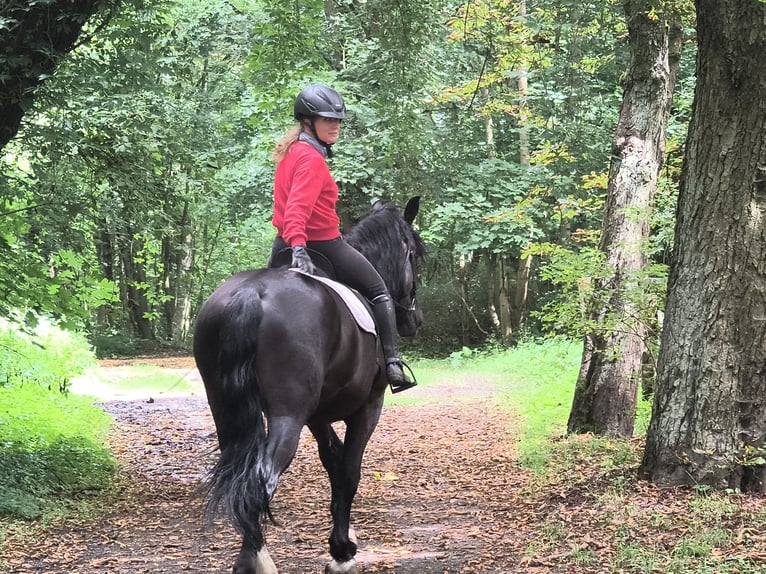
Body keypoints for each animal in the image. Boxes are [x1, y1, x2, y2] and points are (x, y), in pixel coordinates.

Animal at [193, 197, 425, 574]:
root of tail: (251, 293)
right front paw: (341, 551)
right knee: (260, 480)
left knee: (240, 478)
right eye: (415, 254)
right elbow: (349, 470)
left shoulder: (317, 416)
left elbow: (333, 462)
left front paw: (344, 541)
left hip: (226, 412)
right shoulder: (368, 407)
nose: (414, 319)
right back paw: (256, 561)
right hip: (288, 416)